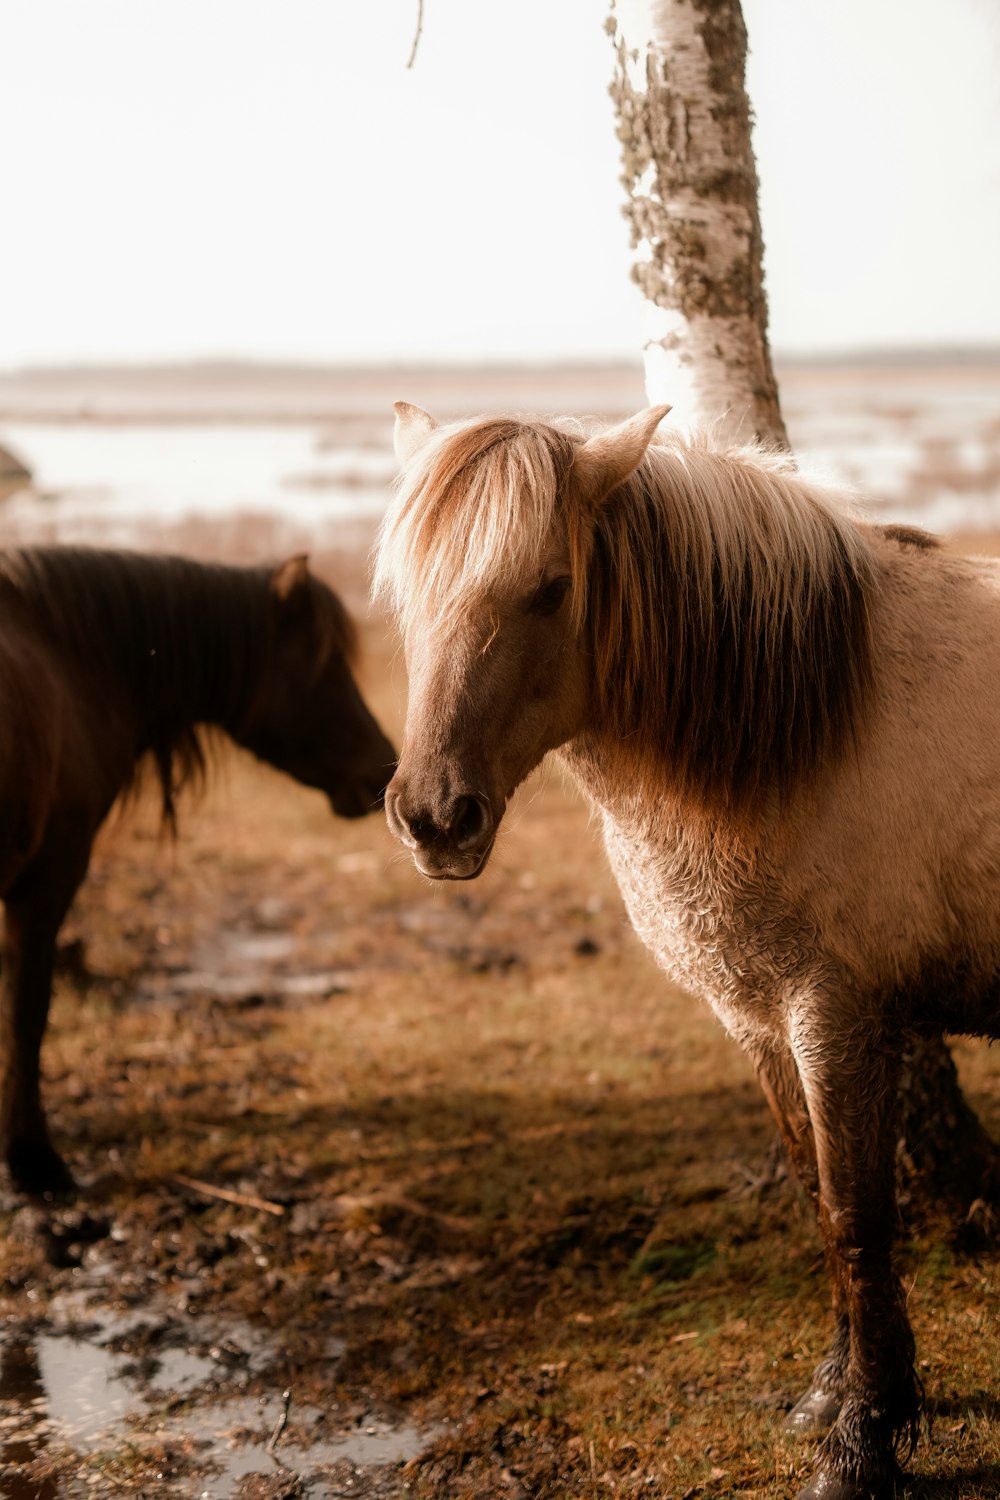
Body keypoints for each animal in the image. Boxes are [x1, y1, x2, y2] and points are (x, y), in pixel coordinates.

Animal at [0, 549, 395, 1194]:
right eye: (327, 665)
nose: (381, 770)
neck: (67, 657)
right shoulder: (47, 878)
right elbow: (25, 1013)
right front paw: (32, 1159)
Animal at [373, 402, 1000, 1500]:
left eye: (551, 587)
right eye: (409, 596)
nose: (434, 819)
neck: (811, 724)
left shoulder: (834, 1015)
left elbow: (857, 1217)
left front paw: (864, 1442)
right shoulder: (756, 1018)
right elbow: (814, 1195)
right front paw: (831, 1395)